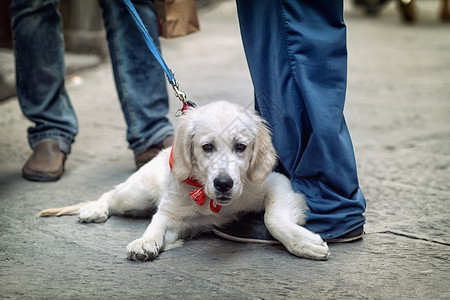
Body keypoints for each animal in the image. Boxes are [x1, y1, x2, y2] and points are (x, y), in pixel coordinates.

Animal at [37, 101, 328, 260]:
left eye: (241, 147)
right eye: (207, 147)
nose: (224, 184)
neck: (210, 198)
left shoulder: (277, 184)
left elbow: (273, 218)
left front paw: (303, 243)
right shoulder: (172, 210)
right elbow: (157, 221)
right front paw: (144, 241)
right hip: (137, 194)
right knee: (111, 194)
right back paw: (94, 208)